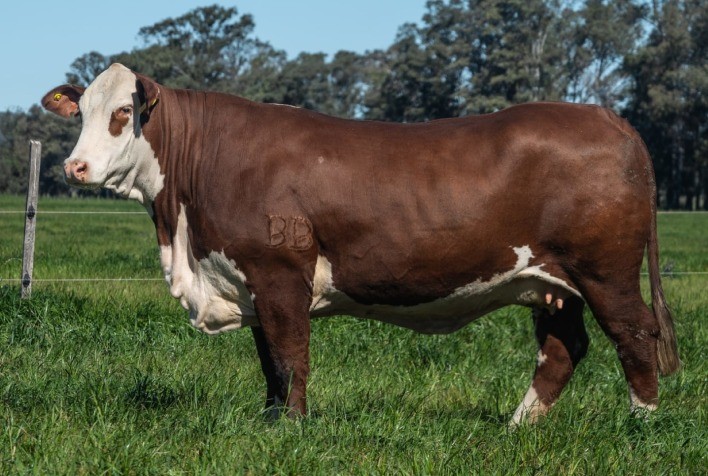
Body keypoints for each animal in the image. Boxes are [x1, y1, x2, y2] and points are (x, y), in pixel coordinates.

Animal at [42, 63, 679, 425]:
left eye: (123, 112)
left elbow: (290, 357)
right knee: (563, 349)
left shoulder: (280, 276)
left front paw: (293, 428)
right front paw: (270, 423)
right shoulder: (248, 281)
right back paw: (518, 426)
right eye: (82, 113)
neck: (183, 230)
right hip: (553, 285)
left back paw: (642, 427)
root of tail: (607, 118)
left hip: (606, 272)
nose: (75, 167)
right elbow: (268, 363)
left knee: (634, 336)